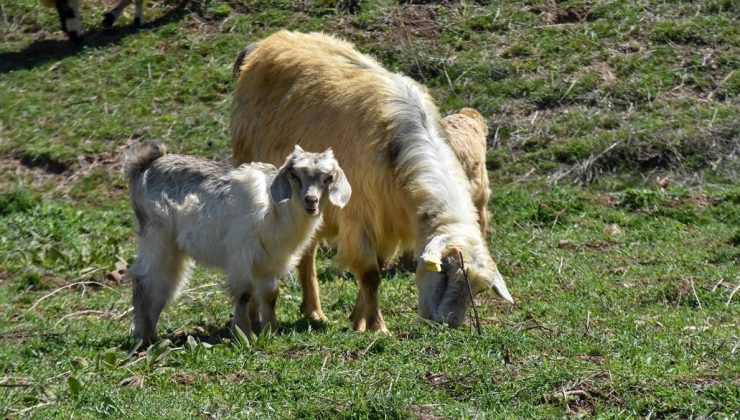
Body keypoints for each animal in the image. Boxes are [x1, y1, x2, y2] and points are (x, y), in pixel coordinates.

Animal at [123, 143, 350, 342]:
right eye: (294, 175)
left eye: (329, 178)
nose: (311, 201)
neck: (276, 209)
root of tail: (146, 166)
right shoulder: (241, 252)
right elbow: (244, 292)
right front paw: (244, 335)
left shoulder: (273, 260)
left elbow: (270, 294)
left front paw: (271, 331)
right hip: (156, 237)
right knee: (144, 281)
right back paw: (145, 337)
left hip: (172, 249)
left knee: (161, 285)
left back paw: (150, 334)